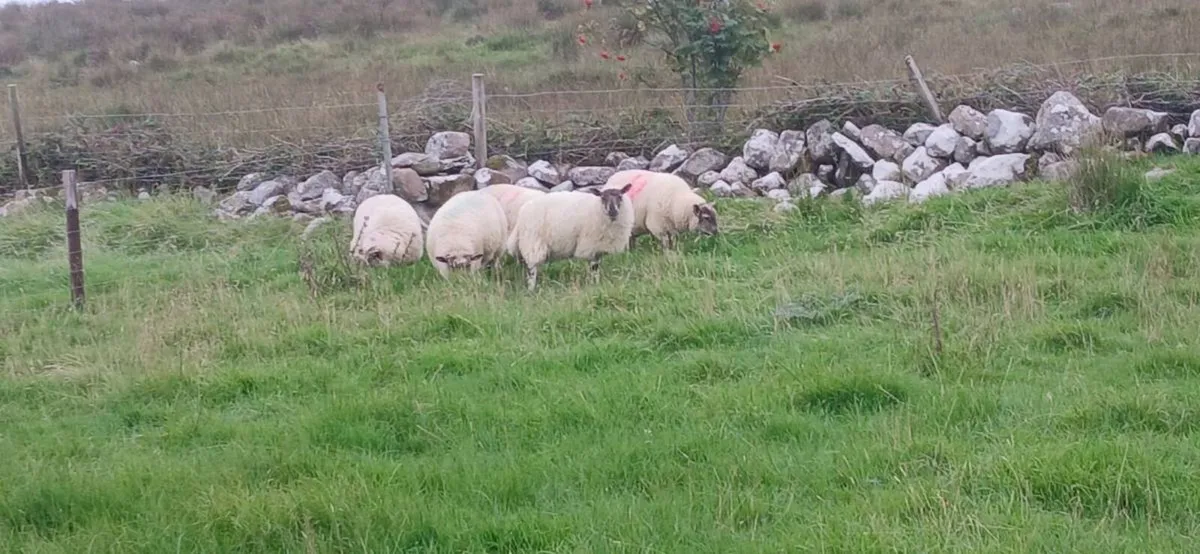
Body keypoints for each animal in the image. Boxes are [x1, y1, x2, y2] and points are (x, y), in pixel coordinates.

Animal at [506, 185, 634, 291]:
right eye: (602, 198)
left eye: (620, 196)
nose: (613, 211)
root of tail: (522, 214)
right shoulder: (591, 245)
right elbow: (594, 268)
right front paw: (594, 285)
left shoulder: (597, 248)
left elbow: (596, 269)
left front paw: (596, 284)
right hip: (533, 242)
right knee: (531, 268)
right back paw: (531, 289)